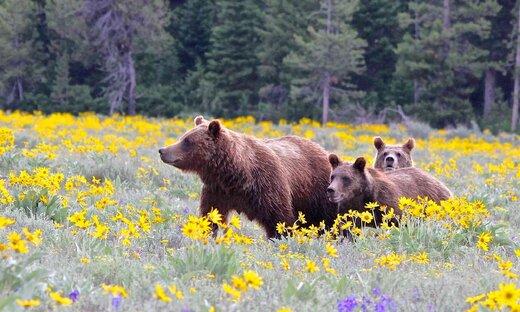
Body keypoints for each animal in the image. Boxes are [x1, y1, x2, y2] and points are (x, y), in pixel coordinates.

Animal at [159, 116, 338, 238]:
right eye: (183, 137)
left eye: (187, 141)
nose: (163, 150)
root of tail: (322, 150)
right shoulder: (217, 190)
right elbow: (210, 215)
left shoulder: (268, 185)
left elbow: (279, 219)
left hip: (316, 190)